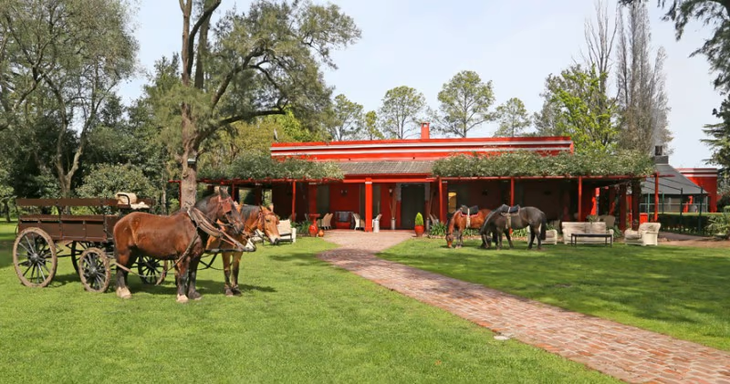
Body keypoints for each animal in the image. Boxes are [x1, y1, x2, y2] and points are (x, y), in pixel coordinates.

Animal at [112, 187, 249, 304]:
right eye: (230, 208)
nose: (241, 227)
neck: (194, 224)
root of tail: (120, 222)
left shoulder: (196, 256)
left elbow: (192, 275)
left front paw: (193, 294)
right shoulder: (184, 256)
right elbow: (183, 276)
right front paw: (182, 296)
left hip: (133, 253)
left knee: (124, 269)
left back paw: (123, 289)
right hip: (124, 252)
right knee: (120, 270)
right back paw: (124, 292)